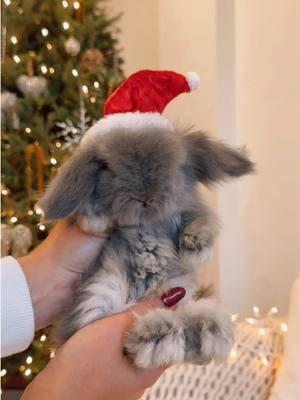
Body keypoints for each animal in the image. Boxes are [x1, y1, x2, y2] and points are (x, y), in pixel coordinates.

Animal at [37, 70, 254, 368]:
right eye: (108, 168)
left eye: (175, 164)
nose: (146, 196)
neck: (147, 225)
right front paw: (98, 216)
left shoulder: (189, 212)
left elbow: (203, 219)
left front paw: (195, 243)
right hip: (100, 294)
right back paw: (159, 335)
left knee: (188, 319)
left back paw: (206, 329)